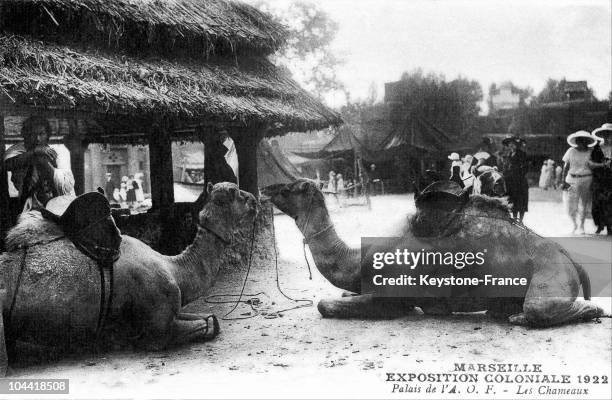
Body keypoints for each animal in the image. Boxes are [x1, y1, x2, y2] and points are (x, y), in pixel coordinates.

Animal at [0, 183, 258, 370]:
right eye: (235, 192)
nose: (255, 200)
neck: (174, 268)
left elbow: (211, 318)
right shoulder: (158, 329)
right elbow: (207, 325)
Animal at [262, 180, 608, 326]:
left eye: (290, 188)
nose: (265, 188)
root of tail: (566, 254)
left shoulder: (391, 298)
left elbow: (324, 305)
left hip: (553, 271)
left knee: (539, 308)